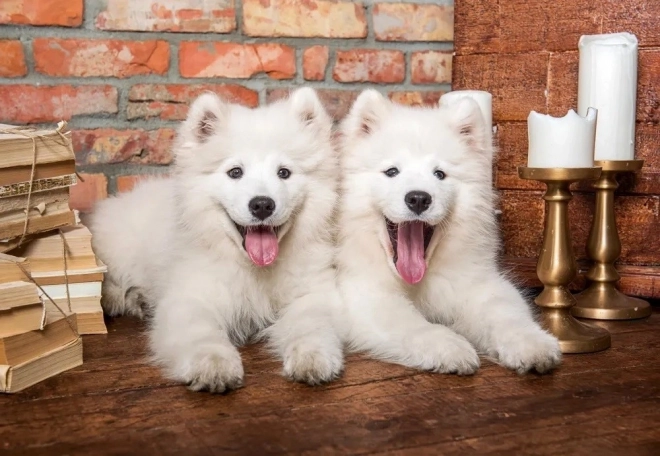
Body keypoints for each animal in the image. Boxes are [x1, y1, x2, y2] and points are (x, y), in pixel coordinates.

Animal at [87, 88, 342, 392]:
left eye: (284, 173)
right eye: (235, 172)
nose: (262, 205)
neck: (254, 270)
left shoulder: (312, 292)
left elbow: (311, 322)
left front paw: (312, 356)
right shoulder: (191, 296)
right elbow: (201, 332)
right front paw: (214, 365)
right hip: (119, 248)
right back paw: (121, 298)